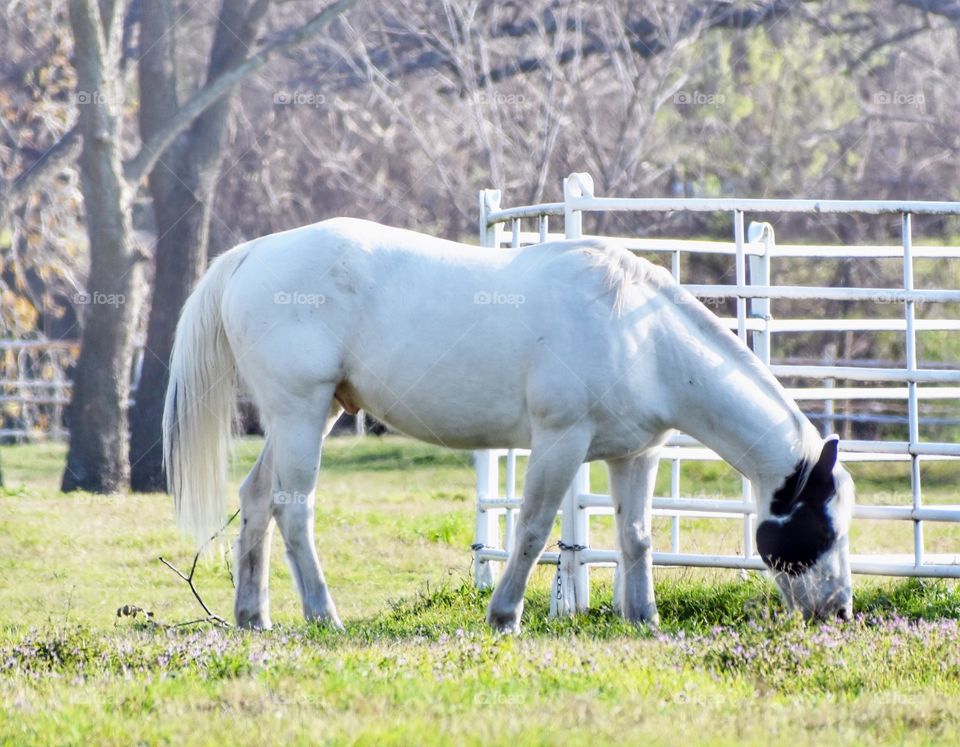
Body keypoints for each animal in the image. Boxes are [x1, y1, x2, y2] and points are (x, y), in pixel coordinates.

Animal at [163, 218, 856, 632]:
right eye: (822, 528)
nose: (839, 610)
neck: (639, 334)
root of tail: (253, 253)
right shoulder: (560, 442)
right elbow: (532, 529)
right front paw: (504, 615)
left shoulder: (635, 456)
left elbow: (636, 537)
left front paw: (644, 621)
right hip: (301, 414)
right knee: (292, 509)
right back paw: (323, 615)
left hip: (306, 417)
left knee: (257, 500)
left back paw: (253, 616)